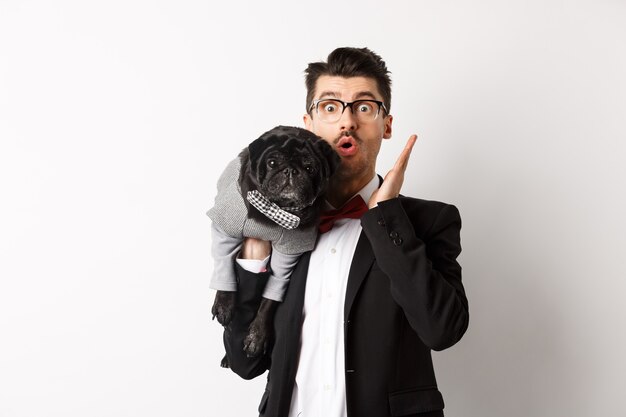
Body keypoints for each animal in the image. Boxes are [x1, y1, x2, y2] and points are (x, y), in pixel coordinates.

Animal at [208, 125, 336, 366]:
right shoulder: (226, 228)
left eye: (309, 167)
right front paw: (224, 305)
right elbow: (224, 266)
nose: (290, 171)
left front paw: (257, 337)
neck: (277, 210)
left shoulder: (288, 253)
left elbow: (269, 300)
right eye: (273, 162)